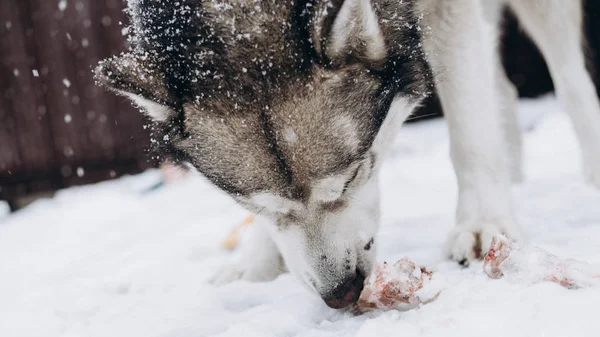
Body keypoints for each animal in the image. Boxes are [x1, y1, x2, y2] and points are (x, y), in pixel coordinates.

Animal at [95, 0, 600, 308]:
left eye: (354, 176)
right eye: (258, 205)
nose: (341, 292)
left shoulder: (447, 12)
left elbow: (470, 129)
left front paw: (482, 223)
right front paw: (255, 260)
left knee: (569, 81)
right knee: (500, 85)